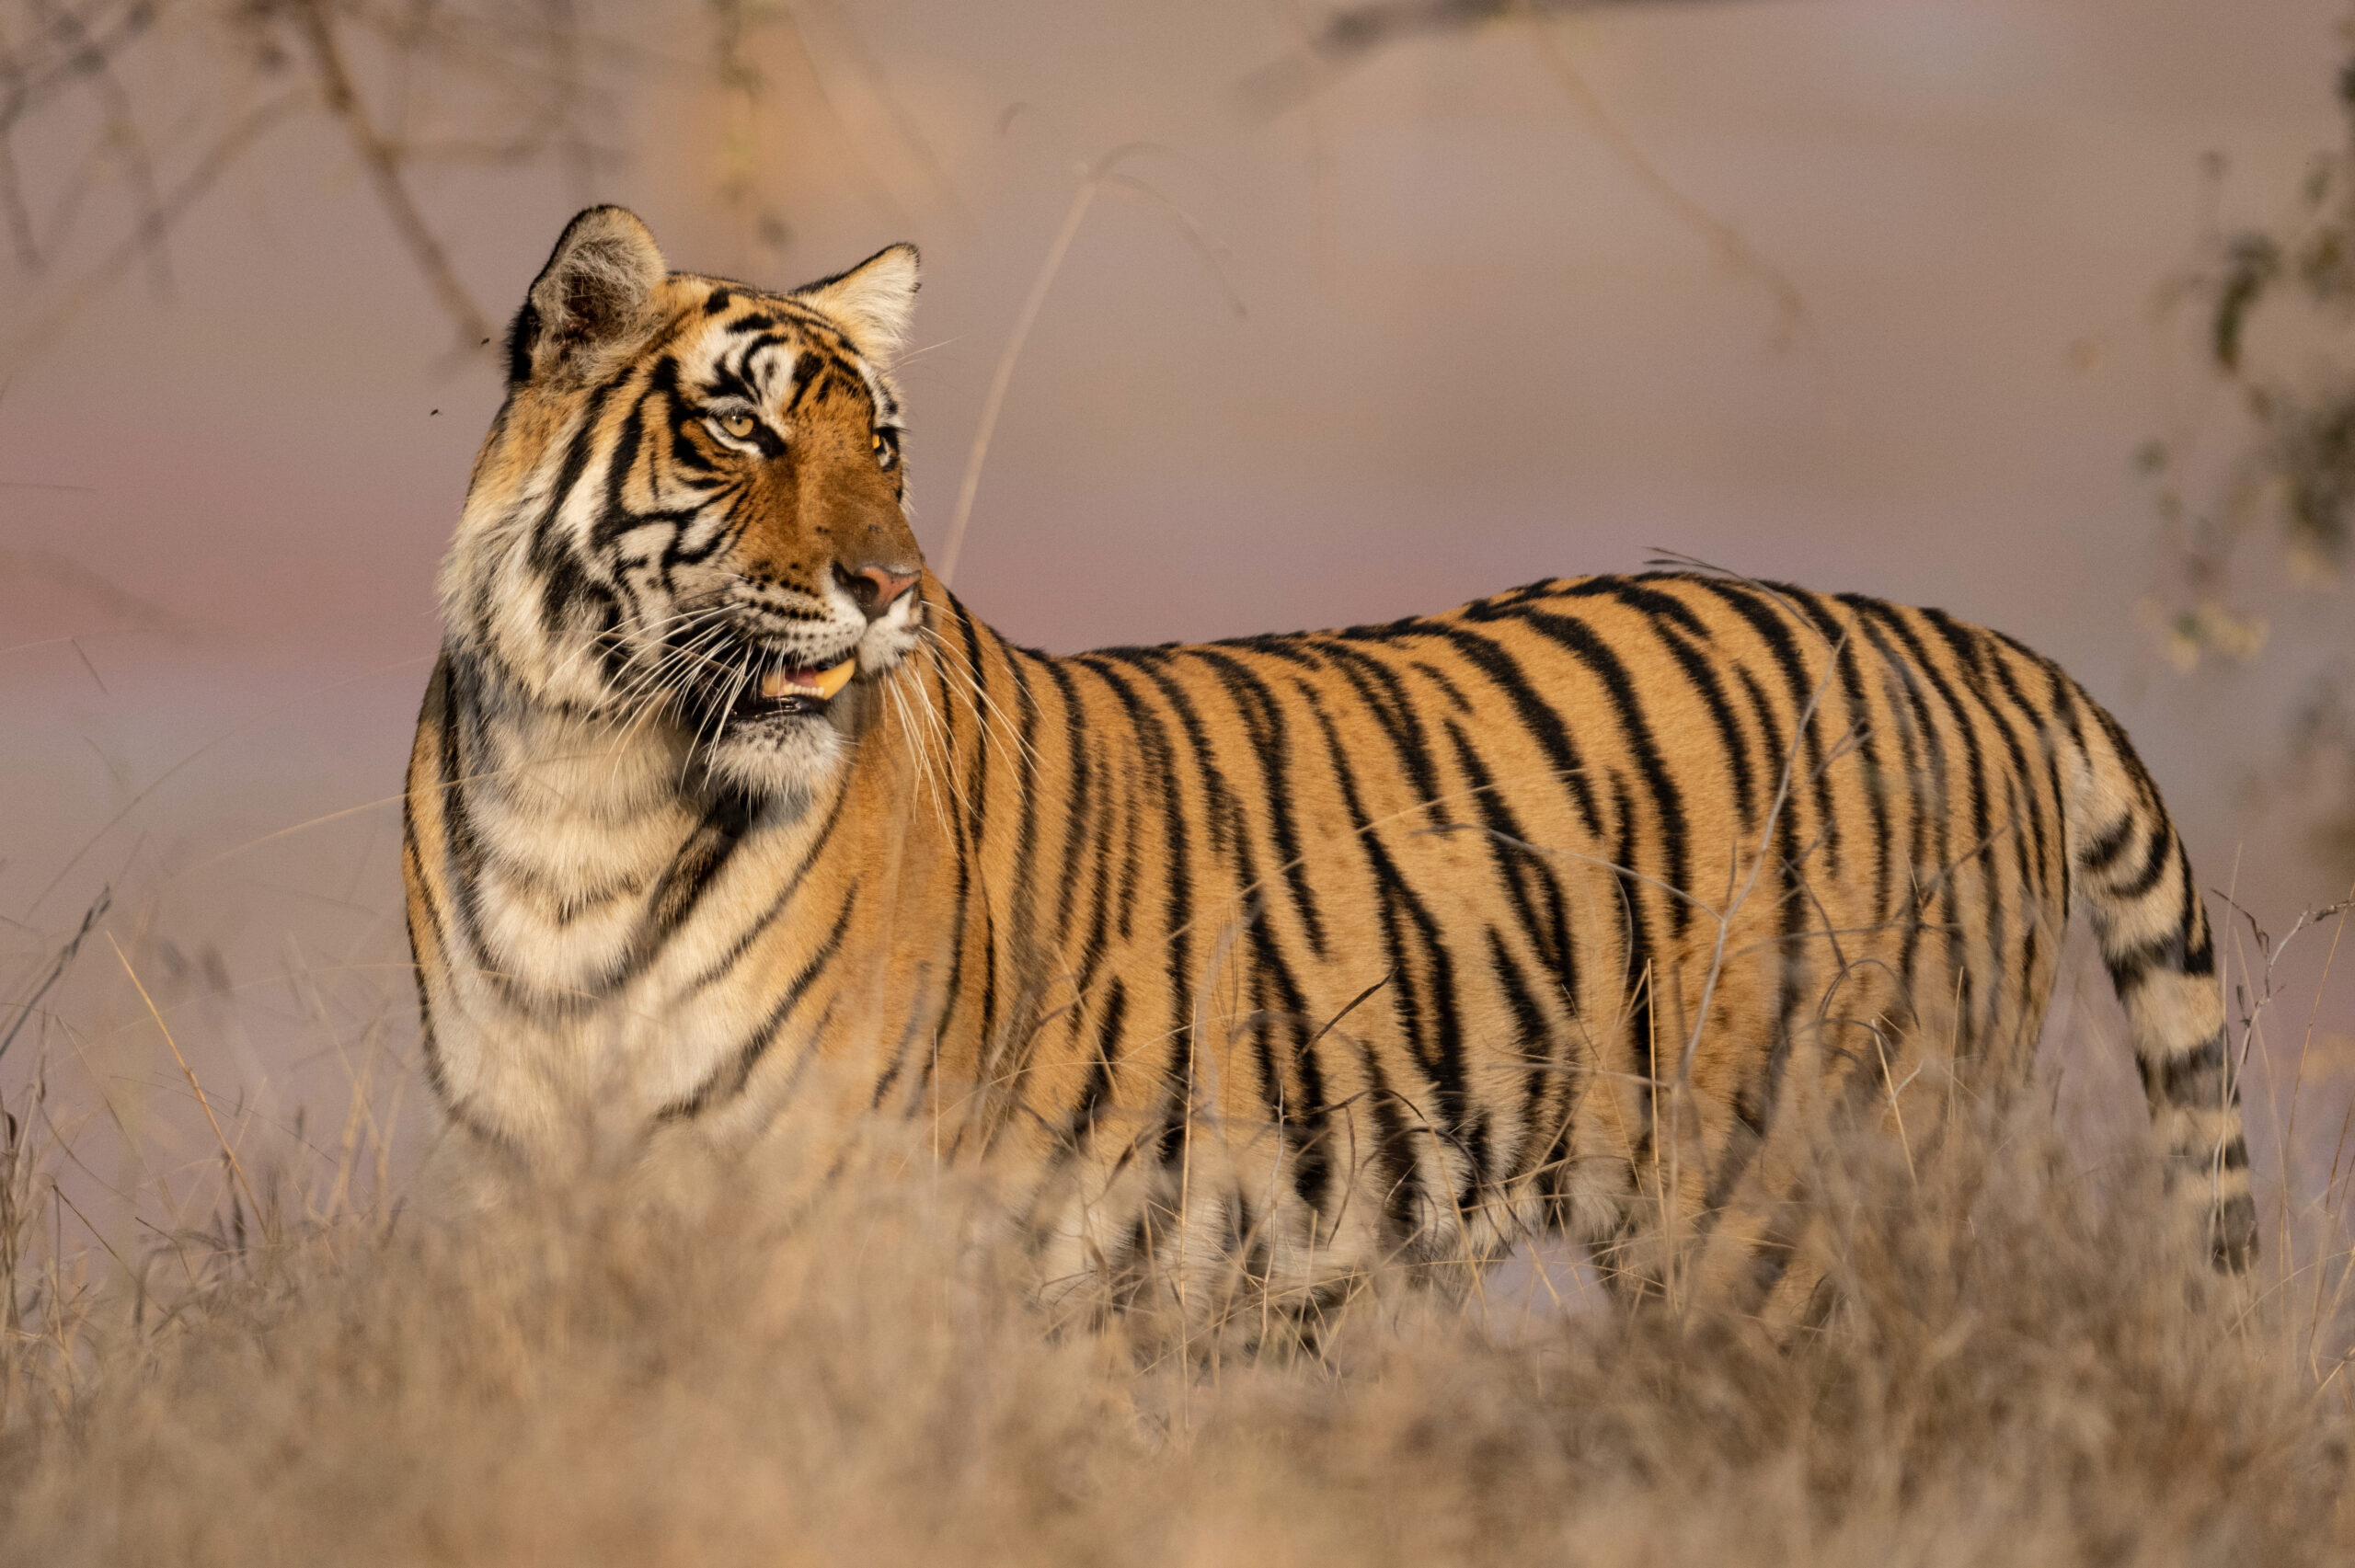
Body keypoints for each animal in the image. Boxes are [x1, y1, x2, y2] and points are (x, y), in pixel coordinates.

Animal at [404, 204, 2254, 1336]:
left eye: (887, 447)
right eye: (743, 426)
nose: (891, 587)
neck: (593, 778)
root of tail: (1959, 637)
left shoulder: (825, 1208)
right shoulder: (521, 1184)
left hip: (1800, 1212)